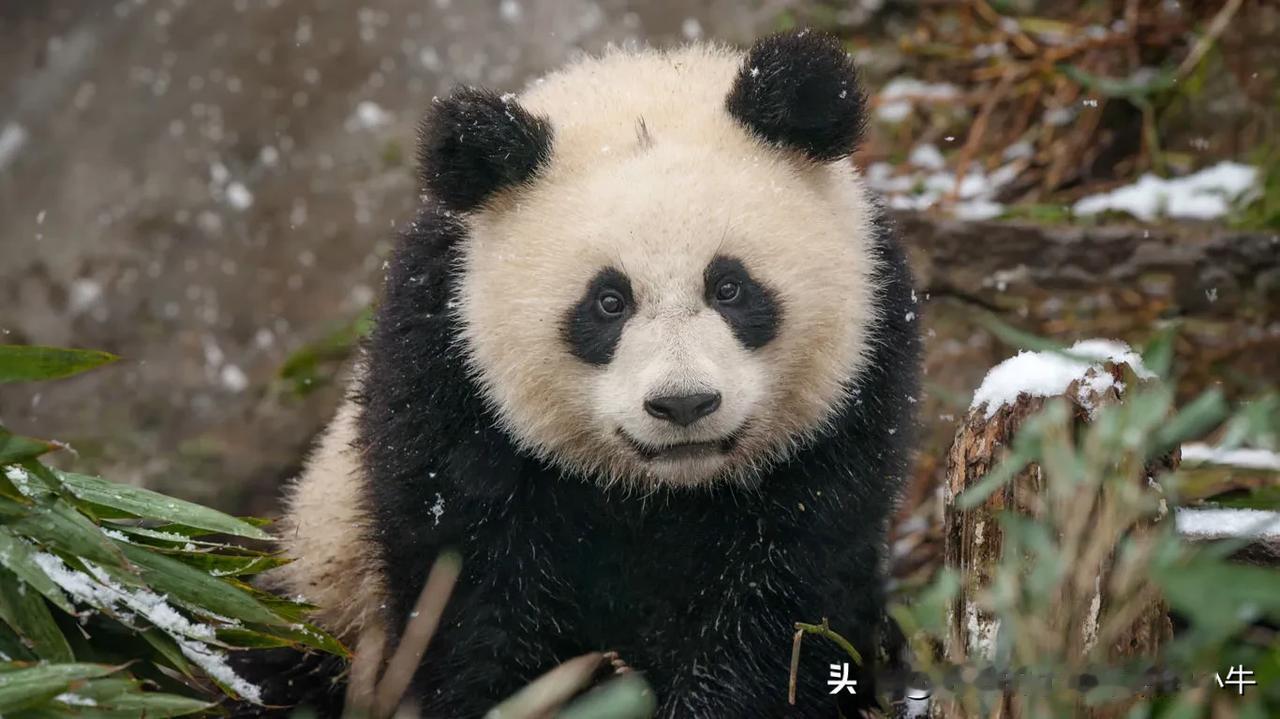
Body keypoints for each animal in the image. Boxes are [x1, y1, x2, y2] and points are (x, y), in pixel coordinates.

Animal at [240, 29, 921, 716]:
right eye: (608, 302)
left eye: (730, 287)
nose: (683, 405)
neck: (661, 492)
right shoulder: (447, 381)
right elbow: (473, 603)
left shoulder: (848, 407)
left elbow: (788, 601)